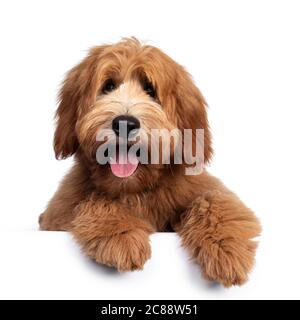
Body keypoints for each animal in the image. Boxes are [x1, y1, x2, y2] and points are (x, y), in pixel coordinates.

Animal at [39, 38, 260, 288]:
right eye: (108, 86)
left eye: (150, 89)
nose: (124, 123)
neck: (136, 188)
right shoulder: (59, 214)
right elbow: (95, 201)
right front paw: (121, 236)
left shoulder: (203, 187)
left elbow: (216, 202)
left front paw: (227, 249)